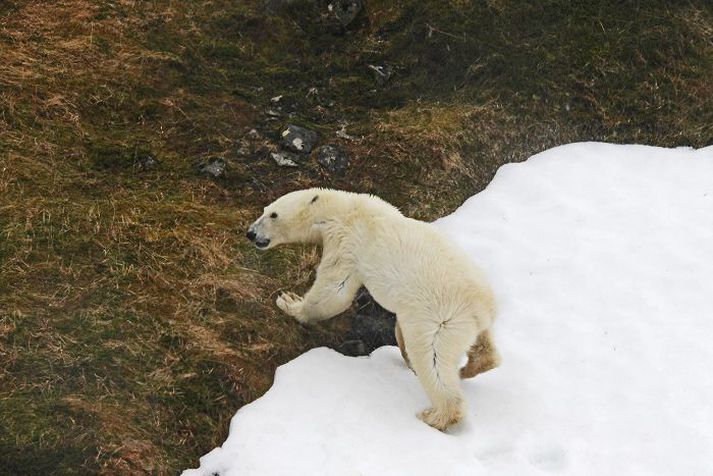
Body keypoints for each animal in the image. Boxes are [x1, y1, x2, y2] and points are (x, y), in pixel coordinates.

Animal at [248, 190, 498, 432]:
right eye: (264, 209)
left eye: (273, 214)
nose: (250, 233)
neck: (344, 210)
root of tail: (482, 305)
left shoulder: (346, 243)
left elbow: (335, 291)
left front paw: (289, 302)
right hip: (467, 322)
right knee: (483, 346)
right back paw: (470, 367)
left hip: (441, 319)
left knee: (432, 359)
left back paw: (435, 416)